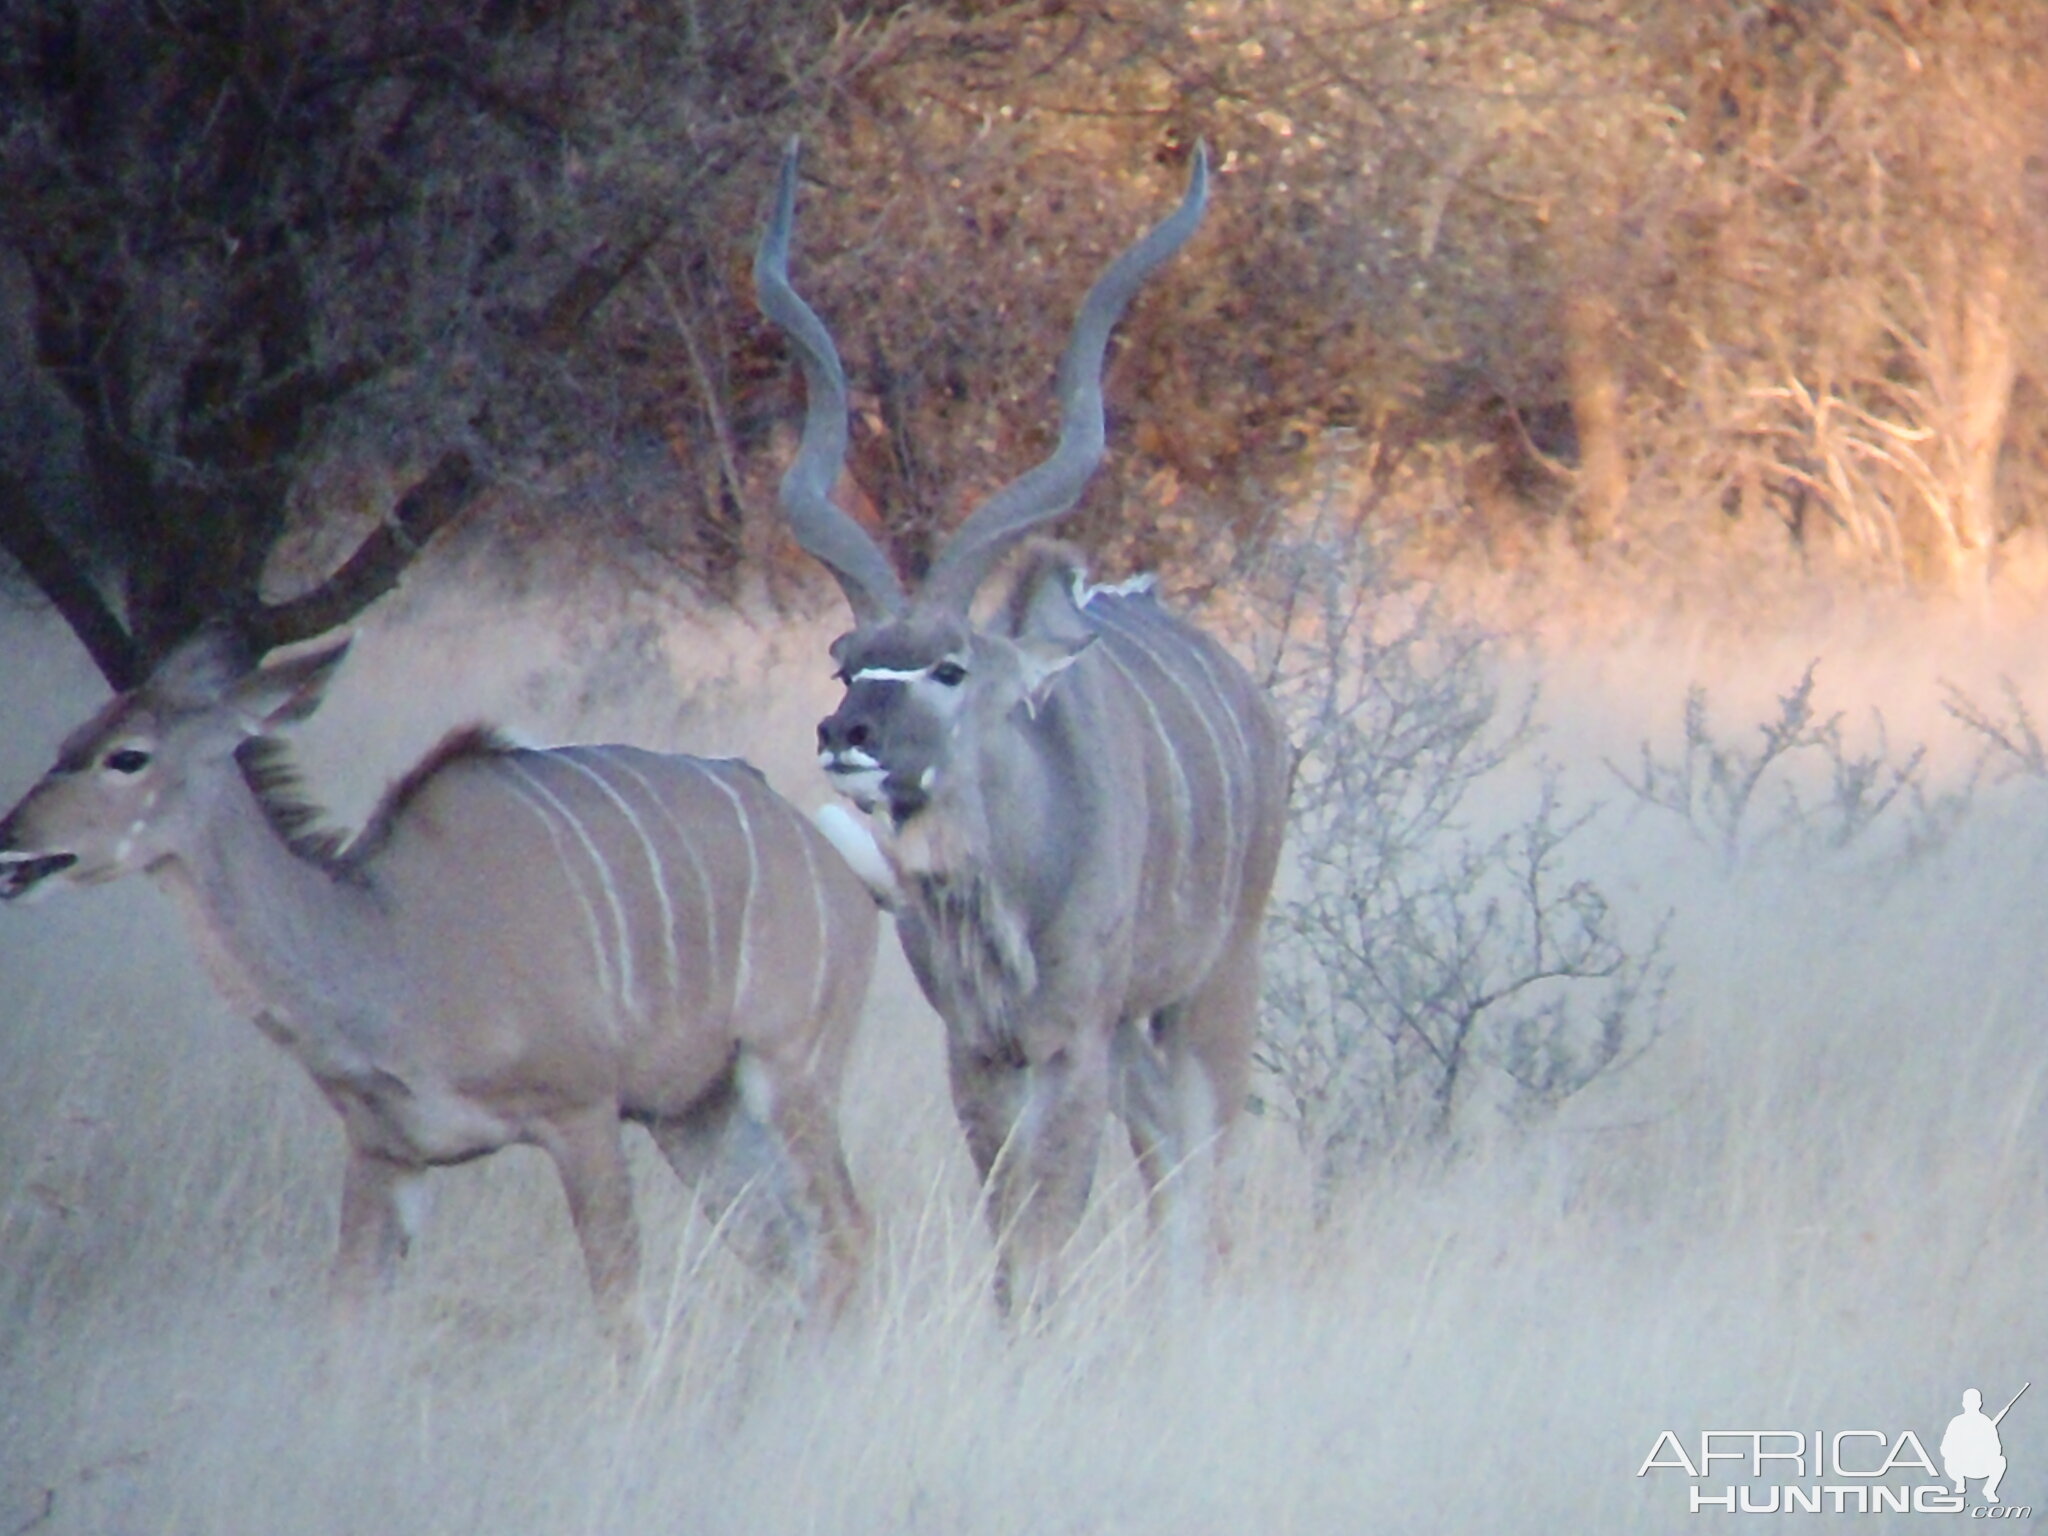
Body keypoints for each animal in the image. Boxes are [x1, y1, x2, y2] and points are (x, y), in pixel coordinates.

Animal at [0, 630, 872, 1351]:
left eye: (127, 756)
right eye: (70, 740)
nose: (12, 844)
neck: (396, 949)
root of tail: (837, 862)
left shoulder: (581, 1114)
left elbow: (621, 1309)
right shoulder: (385, 1152)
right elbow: (345, 1330)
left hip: (788, 1074)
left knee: (841, 1234)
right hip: (692, 1115)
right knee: (785, 1247)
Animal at [761, 141, 1286, 1310]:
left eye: (951, 667)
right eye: (846, 660)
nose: (845, 736)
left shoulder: (1071, 1041)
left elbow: (1047, 1226)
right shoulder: (982, 1050)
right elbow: (1011, 1234)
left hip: (1215, 987)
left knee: (1206, 1169)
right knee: (1164, 1160)